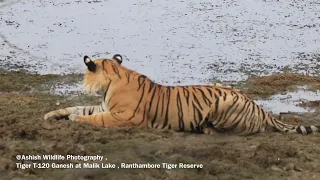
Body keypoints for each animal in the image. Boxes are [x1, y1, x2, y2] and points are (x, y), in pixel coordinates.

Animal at [43, 54, 320, 134]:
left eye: (85, 74)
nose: (82, 83)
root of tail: (259, 106)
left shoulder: (123, 117)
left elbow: (92, 118)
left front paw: (75, 120)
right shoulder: (104, 107)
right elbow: (77, 107)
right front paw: (50, 115)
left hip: (224, 102)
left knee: (251, 130)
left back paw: (207, 130)